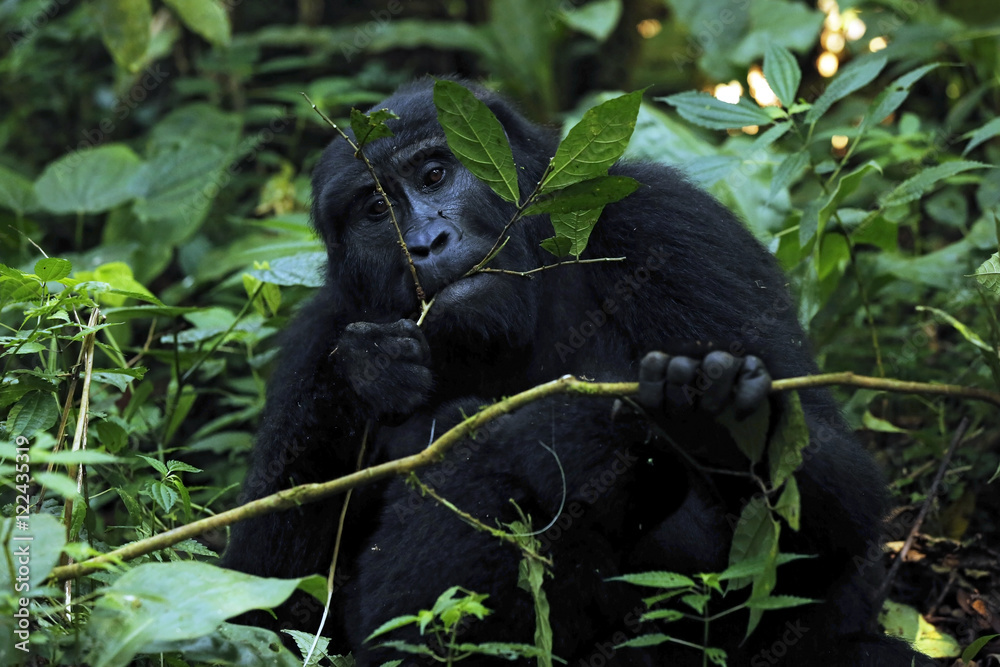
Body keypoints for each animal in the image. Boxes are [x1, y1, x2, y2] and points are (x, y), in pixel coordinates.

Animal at [225, 79, 928, 667]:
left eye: (434, 174)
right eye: (375, 210)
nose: (425, 243)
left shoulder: (671, 226)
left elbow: (842, 506)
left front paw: (721, 419)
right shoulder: (319, 334)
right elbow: (266, 604)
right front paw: (369, 373)